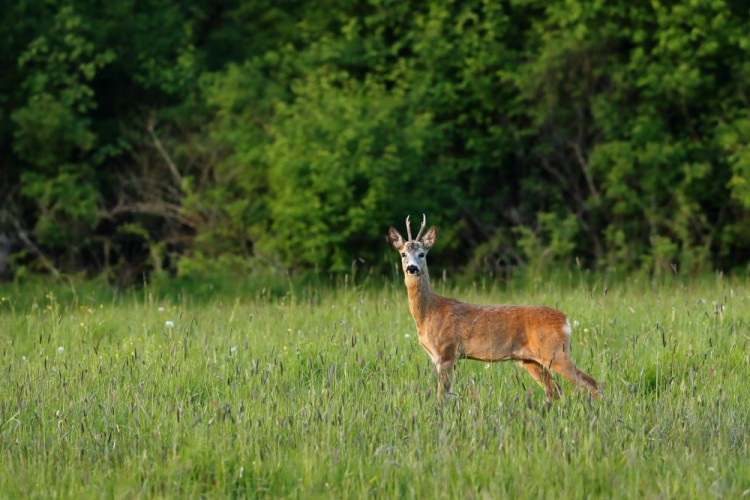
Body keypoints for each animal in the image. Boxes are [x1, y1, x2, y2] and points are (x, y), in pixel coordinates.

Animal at [390, 215, 604, 402]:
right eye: (403, 254)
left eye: (422, 254)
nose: (412, 268)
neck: (429, 312)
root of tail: (565, 320)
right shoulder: (437, 356)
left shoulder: (447, 351)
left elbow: (442, 396)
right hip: (532, 360)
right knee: (556, 390)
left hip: (554, 352)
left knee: (591, 382)